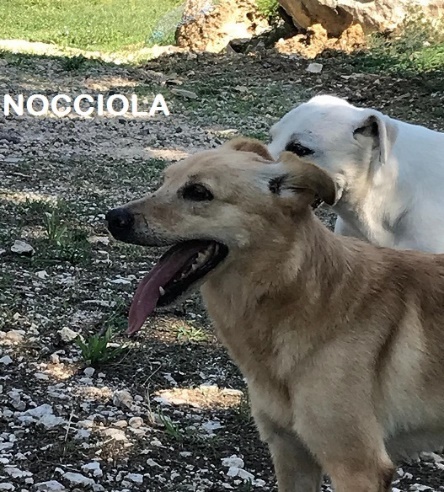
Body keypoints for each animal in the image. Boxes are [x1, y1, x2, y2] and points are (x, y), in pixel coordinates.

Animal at [107, 138, 444, 491]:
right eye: (163, 182)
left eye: (198, 192)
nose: (112, 218)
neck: (306, 297)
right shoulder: (291, 452)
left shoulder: (357, 468)